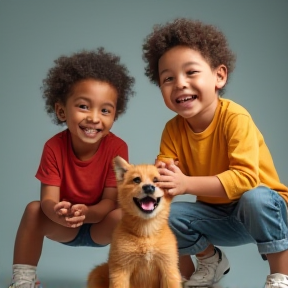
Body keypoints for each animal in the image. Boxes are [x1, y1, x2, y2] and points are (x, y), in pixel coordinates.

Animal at [87, 156, 180, 288]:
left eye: (156, 180)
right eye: (136, 180)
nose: (149, 187)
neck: (146, 234)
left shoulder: (169, 269)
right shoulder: (120, 270)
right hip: (97, 273)